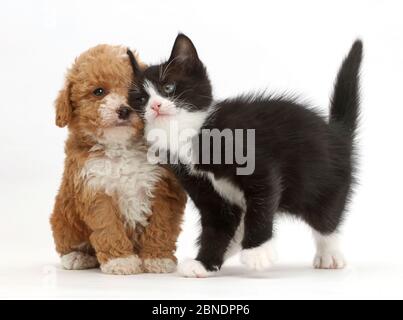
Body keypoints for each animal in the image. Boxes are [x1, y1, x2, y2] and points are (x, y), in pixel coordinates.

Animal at [127, 33, 362, 276]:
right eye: (140, 99)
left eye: (168, 87)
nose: (155, 105)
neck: (190, 134)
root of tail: (337, 133)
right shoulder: (200, 185)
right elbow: (218, 223)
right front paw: (204, 262)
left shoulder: (259, 167)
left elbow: (262, 202)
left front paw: (257, 252)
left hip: (319, 182)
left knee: (326, 217)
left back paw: (329, 254)